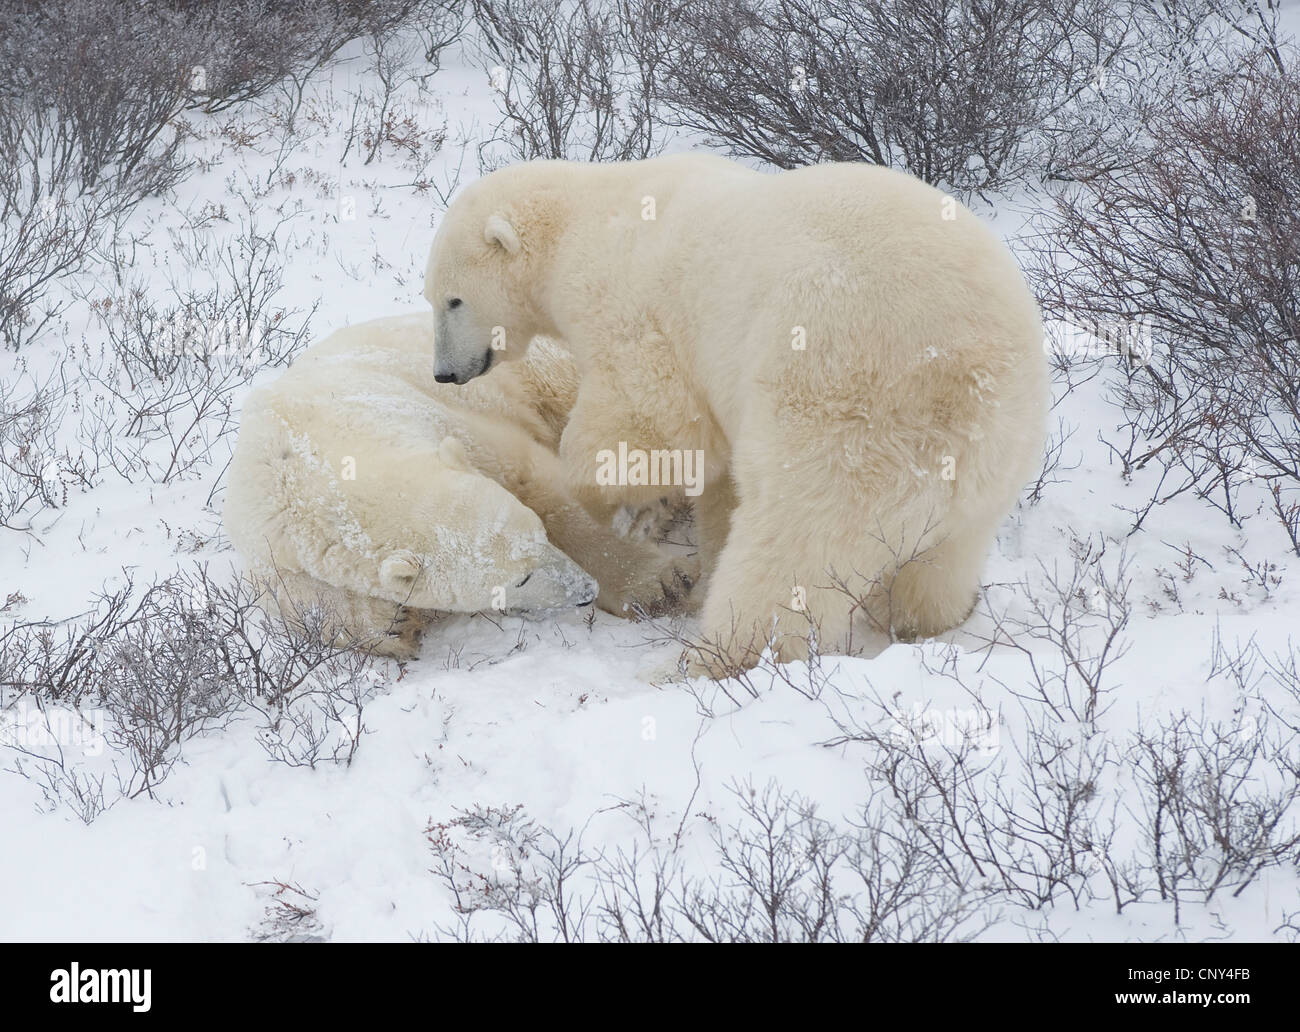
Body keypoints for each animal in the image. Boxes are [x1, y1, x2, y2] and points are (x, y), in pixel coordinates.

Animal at [223, 313, 696, 657]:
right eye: (520, 579)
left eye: (540, 535)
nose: (584, 591)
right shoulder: (276, 547)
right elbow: (301, 602)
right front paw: (396, 626)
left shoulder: (445, 418)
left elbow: (539, 481)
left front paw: (661, 587)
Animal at [422, 154, 1049, 675]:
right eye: (434, 299)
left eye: (453, 299)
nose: (443, 373)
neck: (581, 220)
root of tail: (968, 383)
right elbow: (717, 472)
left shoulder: (631, 310)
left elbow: (649, 423)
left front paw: (613, 503)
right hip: (996, 459)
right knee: (945, 559)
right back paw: (924, 620)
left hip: (846, 414)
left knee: (787, 555)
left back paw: (708, 661)